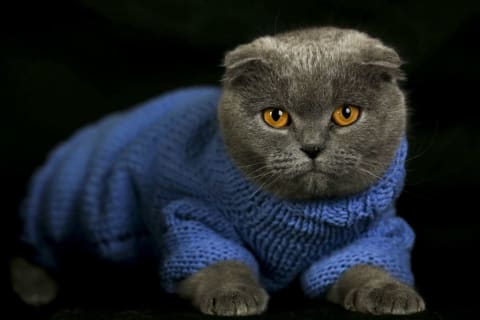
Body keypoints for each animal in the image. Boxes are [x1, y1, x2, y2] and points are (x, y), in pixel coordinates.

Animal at [10, 26, 424, 316]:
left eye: (346, 113)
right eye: (276, 116)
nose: (311, 147)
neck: (302, 216)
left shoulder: (374, 232)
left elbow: (368, 264)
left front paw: (392, 295)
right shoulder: (190, 215)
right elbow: (219, 261)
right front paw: (233, 296)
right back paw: (36, 289)